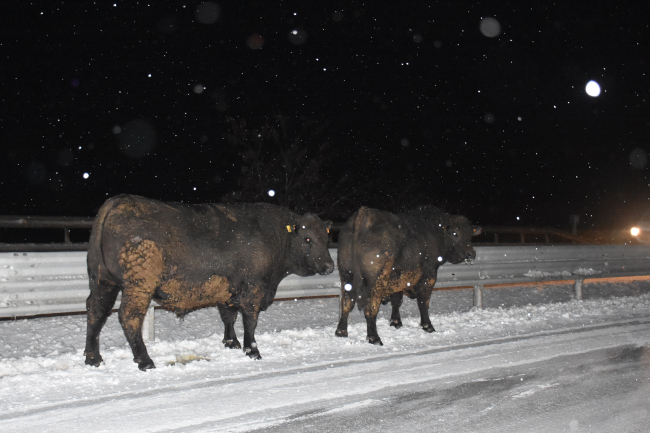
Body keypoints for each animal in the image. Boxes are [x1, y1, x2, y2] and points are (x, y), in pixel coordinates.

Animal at [83, 194, 332, 370]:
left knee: (96, 310)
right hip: (139, 285)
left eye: (326, 237)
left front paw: (231, 342)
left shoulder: (227, 289)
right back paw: (145, 360)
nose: (329, 265)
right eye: (307, 239)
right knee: (129, 317)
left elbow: (229, 316)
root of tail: (120, 200)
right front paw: (252, 351)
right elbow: (250, 321)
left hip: (103, 280)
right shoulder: (254, 289)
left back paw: (93, 358)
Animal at [336, 205, 478, 344]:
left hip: (347, 276)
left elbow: (396, 300)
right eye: (455, 233)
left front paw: (395, 322)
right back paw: (374, 337)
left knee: (346, 303)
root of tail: (364, 213)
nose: (471, 253)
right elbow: (423, 302)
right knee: (370, 306)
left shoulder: (398, 278)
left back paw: (341, 331)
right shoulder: (429, 276)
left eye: (470, 234)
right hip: (376, 281)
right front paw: (427, 325)